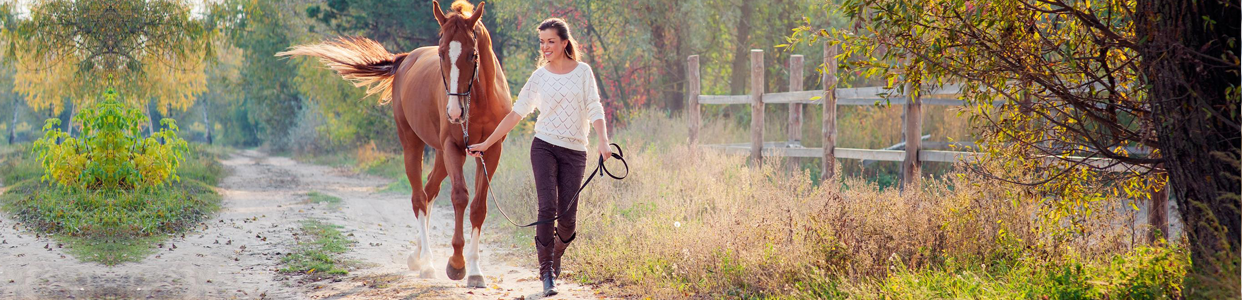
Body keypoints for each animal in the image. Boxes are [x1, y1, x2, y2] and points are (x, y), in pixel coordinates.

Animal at [278, 0, 509, 288]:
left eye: (472, 54)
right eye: (442, 53)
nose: (455, 113)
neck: (480, 98)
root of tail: (405, 59)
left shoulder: (490, 151)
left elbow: (478, 207)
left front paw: (476, 270)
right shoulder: (454, 148)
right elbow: (459, 197)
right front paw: (456, 264)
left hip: (440, 153)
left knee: (429, 190)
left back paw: (417, 256)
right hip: (414, 145)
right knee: (419, 197)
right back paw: (427, 263)